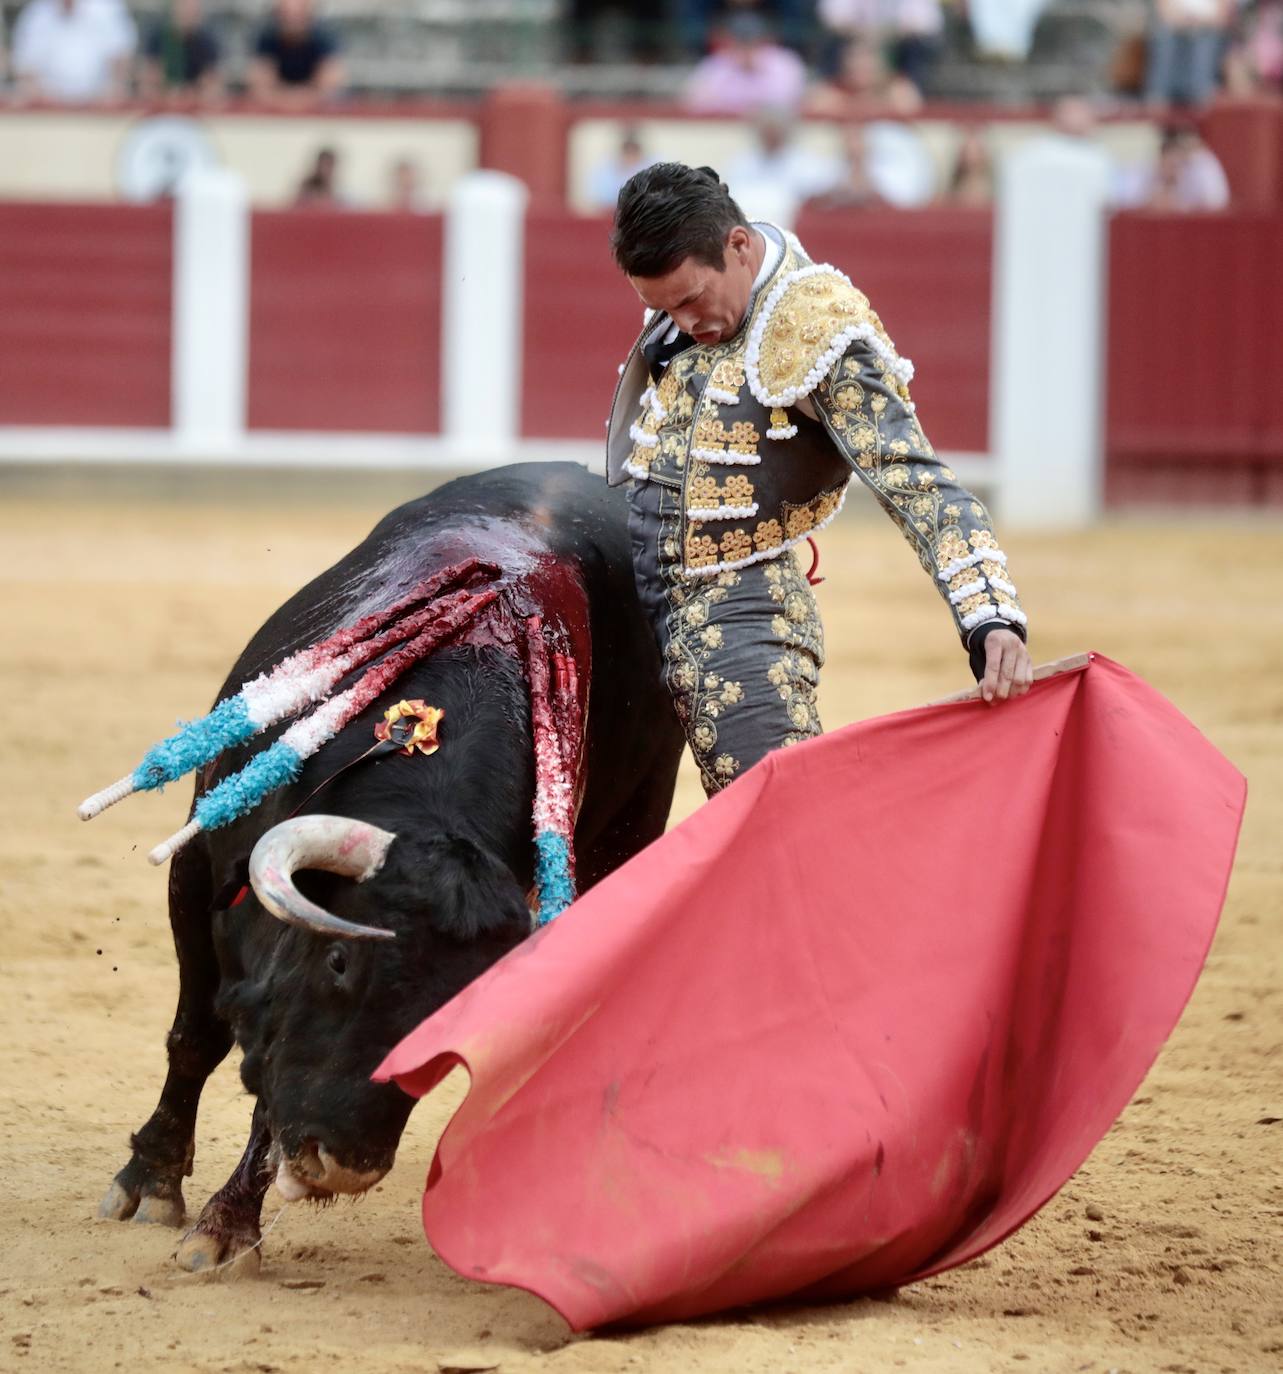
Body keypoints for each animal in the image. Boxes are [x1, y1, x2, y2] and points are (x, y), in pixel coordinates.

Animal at [95, 464, 686, 1275]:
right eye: (340, 962)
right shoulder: (194, 870)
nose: (345, 1167)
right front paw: (150, 1180)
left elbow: (271, 1089)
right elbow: (198, 1035)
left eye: (449, 1012)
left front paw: (227, 1224)